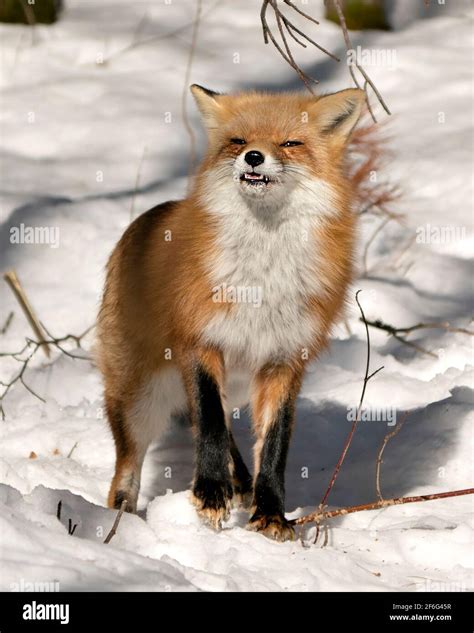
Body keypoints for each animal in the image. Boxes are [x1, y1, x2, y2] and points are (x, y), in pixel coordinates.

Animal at [95, 82, 362, 540]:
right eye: (238, 140)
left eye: (289, 143)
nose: (253, 156)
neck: (263, 274)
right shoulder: (201, 341)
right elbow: (210, 422)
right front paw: (210, 493)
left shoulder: (284, 359)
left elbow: (273, 443)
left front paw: (270, 514)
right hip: (139, 396)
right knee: (128, 467)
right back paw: (120, 523)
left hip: (236, 382)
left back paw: (240, 482)